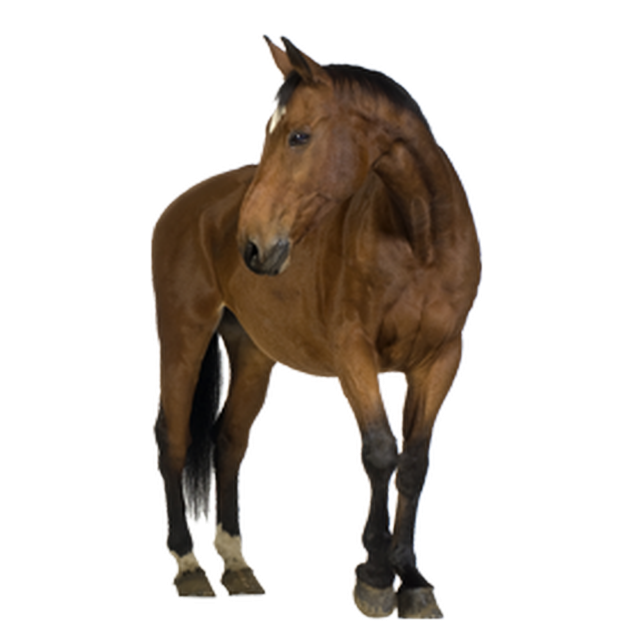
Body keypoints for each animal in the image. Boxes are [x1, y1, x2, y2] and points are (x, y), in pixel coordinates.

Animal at [151, 34, 482, 619]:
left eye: (299, 136)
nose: (252, 245)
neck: (418, 241)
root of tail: (184, 205)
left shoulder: (440, 359)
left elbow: (414, 461)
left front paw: (413, 580)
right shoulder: (355, 355)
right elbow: (381, 452)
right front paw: (375, 577)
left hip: (252, 352)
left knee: (228, 440)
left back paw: (237, 565)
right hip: (183, 334)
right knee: (172, 435)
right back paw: (189, 567)